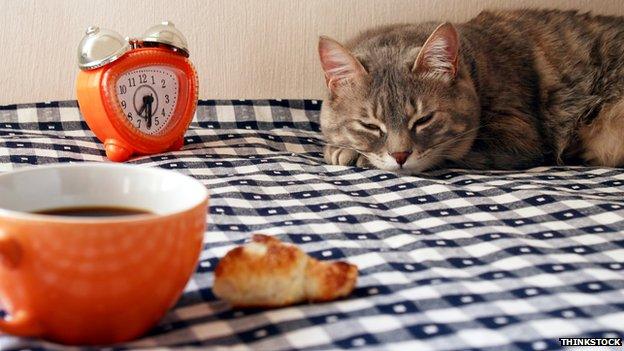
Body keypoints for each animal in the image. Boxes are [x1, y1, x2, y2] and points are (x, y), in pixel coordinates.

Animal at [320, 8, 624, 173]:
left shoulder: (518, 138)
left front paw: (352, 153)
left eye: (424, 119)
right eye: (369, 125)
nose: (400, 156)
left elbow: (451, 153)